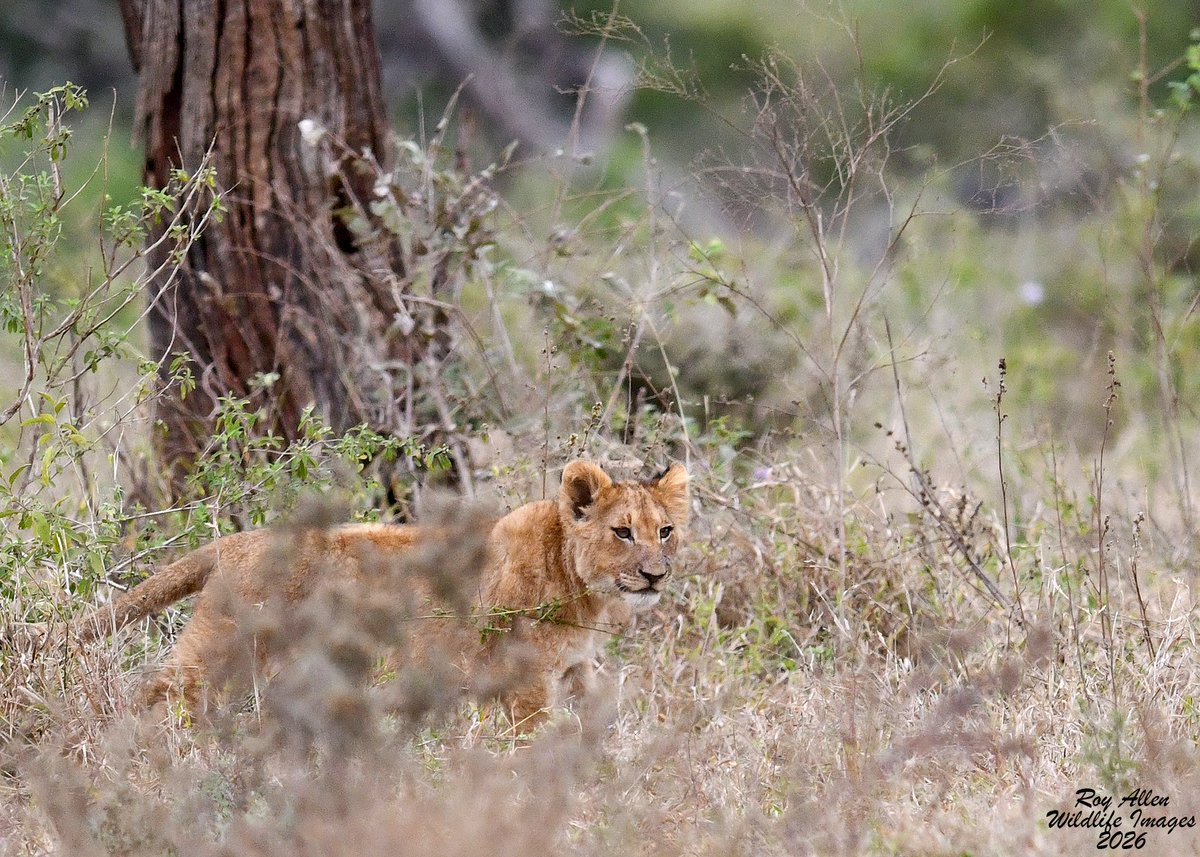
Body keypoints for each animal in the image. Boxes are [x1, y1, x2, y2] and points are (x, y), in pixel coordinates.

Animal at [75, 460, 689, 729]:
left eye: (664, 531)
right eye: (622, 533)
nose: (656, 575)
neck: (583, 590)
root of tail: (235, 541)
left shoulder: (576, 668)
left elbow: (600, 717)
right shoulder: (525, 679)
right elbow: (532, 737)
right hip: (220, 647)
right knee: (157, 688)